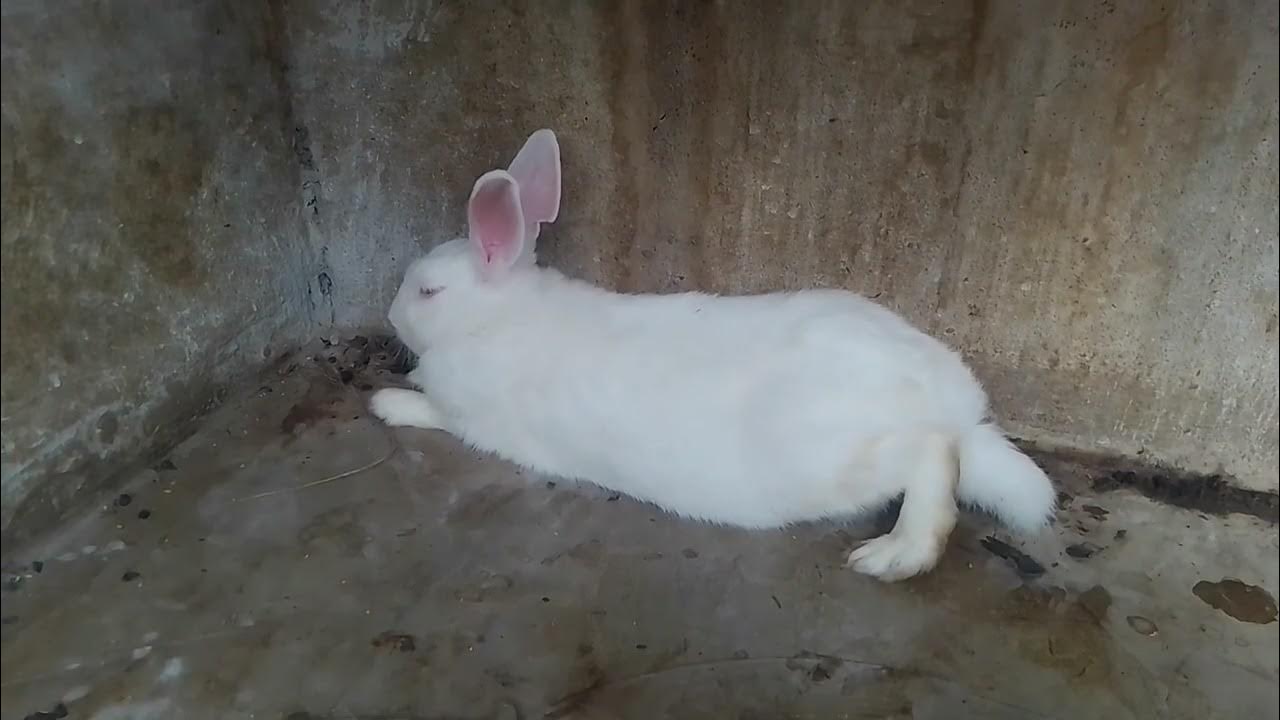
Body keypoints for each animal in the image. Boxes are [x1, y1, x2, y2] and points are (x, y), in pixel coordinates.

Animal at [370, 129, 1056, 581]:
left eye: (427, 291)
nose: (391, 317)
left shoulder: (471, 416)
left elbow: (428, 410)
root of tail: (955, 408)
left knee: (931, 460)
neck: (495, 318)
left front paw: (385, 401)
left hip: (840, 452)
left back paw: (893, 556)